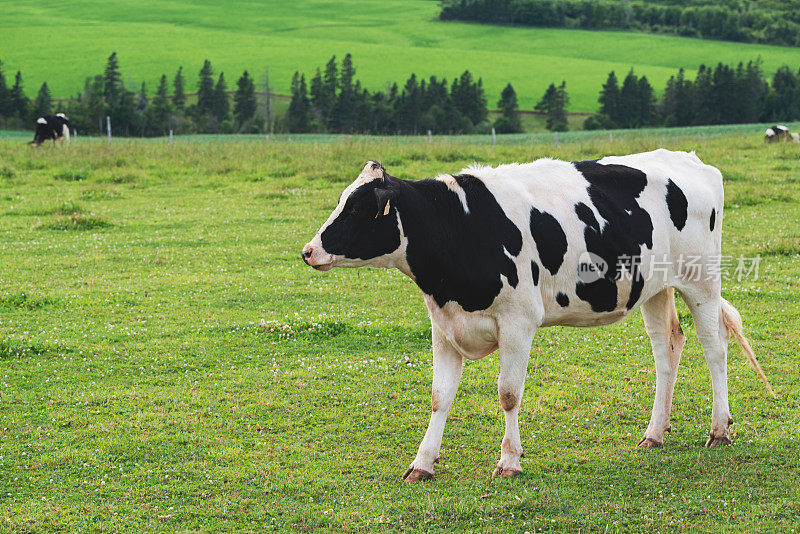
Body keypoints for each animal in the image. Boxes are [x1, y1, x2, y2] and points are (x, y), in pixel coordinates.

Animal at [298, 150, 768, 482]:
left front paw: (509, 461)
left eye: (357, 209)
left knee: (714, 347)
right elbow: (439, 396)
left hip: (701, 280)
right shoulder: (444, 326)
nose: (308, 251)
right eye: (341, 201)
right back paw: (654, 433)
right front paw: (422, 463)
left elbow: (508, 393)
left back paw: (719, 430)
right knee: (667, 348)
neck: (460, 226)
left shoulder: (518, 322)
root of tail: (690, 159)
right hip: (654, 287)